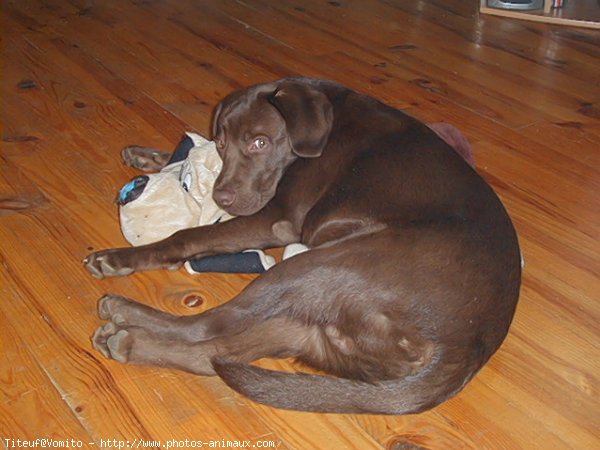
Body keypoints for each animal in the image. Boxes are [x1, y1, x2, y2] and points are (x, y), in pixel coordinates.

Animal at [84, 77, 520, 414]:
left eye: (260, 142)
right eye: (223, 143)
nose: (223, 198)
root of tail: (468, 347)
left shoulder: (276, 219)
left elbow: (188, 235)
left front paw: (121, 258)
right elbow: (197, 154)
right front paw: (148, 155)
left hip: (315, 268)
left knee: (210, 324)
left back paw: (123, 312)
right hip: (310, 326)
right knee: (217, 353)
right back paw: (128, 342)